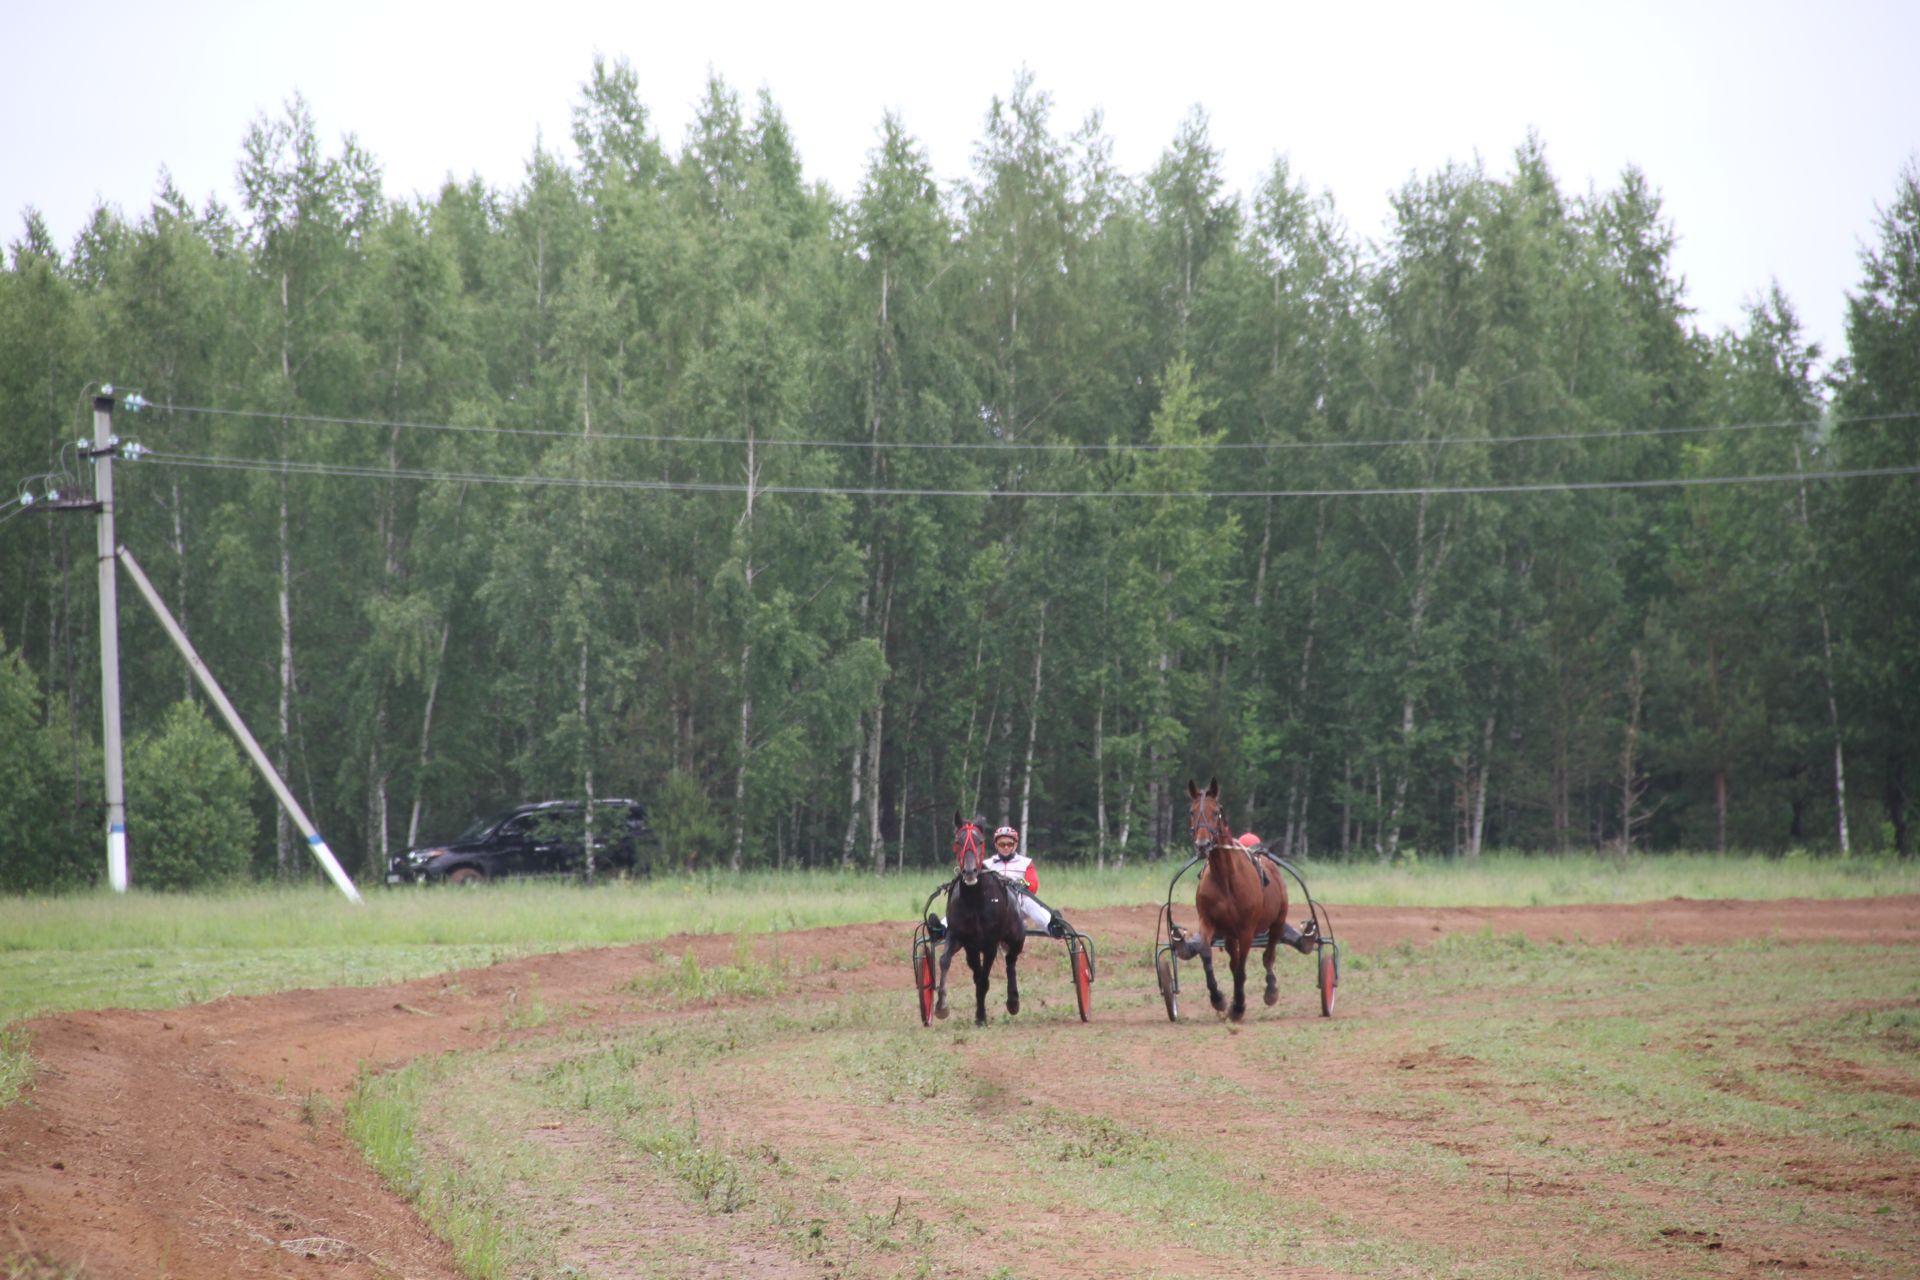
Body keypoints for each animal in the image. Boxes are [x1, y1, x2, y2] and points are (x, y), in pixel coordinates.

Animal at [933, 817, 1029, 1028]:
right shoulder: (961, 939)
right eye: (958, 841)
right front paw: (941, 1006)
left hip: (1017, 937)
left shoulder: (990, 944)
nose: (970, 872)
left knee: (1011, 960)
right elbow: (945, 961)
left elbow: (984, 979)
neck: (975, 901)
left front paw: (981, 1017)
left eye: (980, 841)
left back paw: (1013, 1001)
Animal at [1175, 782, 1313, 1020]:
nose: (1203, 845)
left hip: (1277, 920)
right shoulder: (1209, 922)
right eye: (1191, 812)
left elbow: (1242, 967)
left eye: (1216, 812)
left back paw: (1270, 991)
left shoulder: (1246, 929)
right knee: (1234, 960)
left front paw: (1238, 1006)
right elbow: (1206, 954)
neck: (1226, 878)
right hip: (1230, 934)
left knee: (1268, 955)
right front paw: (1219, 999)